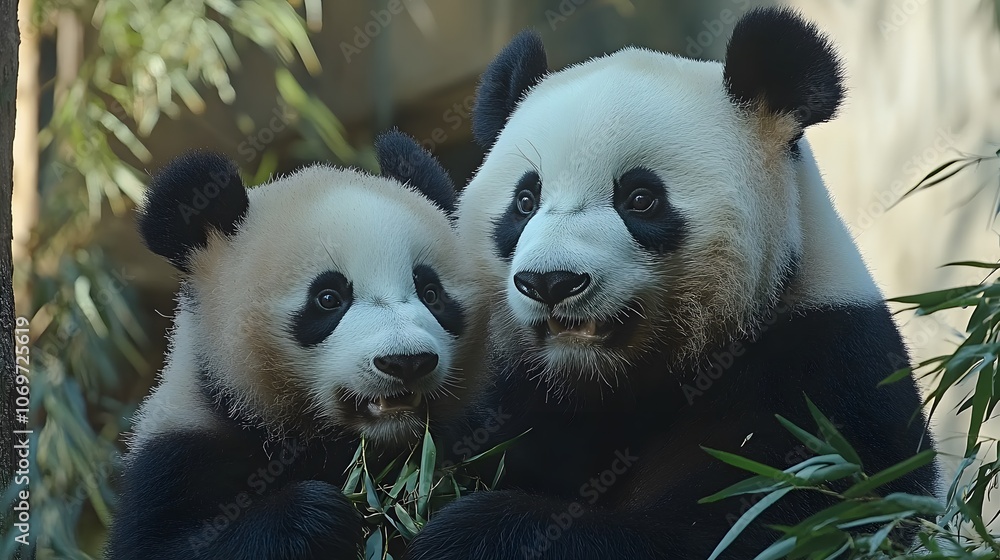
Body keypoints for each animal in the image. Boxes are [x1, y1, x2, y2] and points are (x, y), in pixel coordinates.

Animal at [105, 131, 487, 560]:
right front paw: (317, 516)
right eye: (327, 298)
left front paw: (453, 534)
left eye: (431, 293)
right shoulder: (180, 457)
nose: (406, 362)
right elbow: (164, 544)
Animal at [405, 8, 937, 560]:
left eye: (641, 199)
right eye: (525, 201)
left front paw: (466, 532)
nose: (550, 282)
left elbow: (762, 524)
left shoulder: (826, 386)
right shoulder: (518, 393)